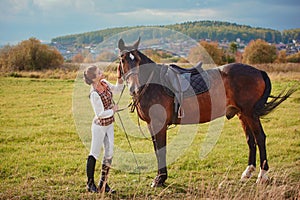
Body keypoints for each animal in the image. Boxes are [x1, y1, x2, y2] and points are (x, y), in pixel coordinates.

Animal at [116, 38, 296, 188]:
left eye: (137, 60)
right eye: (123, 59)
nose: (133, 87)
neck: (153, 84)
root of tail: (258, 71)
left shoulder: (158, 124)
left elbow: (161, 149)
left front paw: (160, 179)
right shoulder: (152, 125)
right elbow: (157, 149)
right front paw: (160, 177)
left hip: (250, 114)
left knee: (260, 139)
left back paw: (262, 175)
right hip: (242, 114)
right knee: (250, 140)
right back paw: (247, 172)